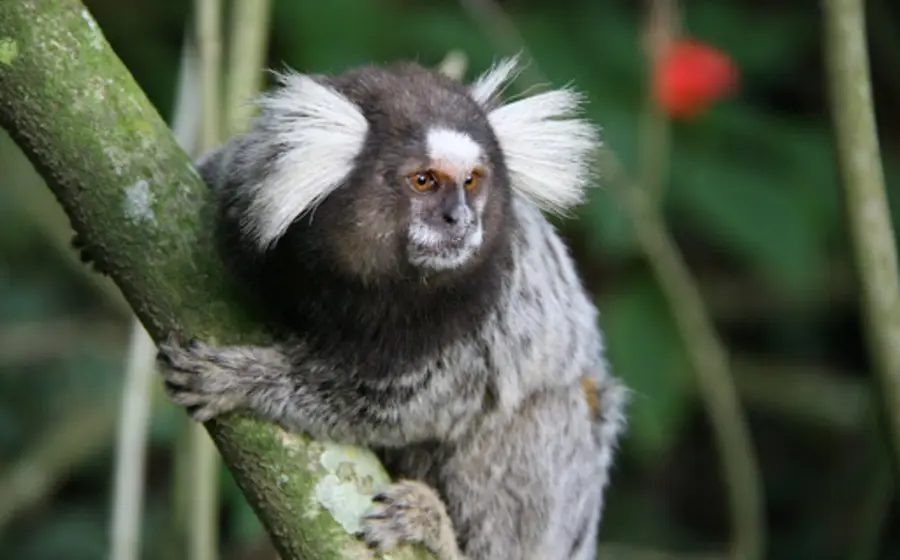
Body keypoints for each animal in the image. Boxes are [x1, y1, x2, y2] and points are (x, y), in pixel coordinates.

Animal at [156, 55, 628, 560]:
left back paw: (437, 531)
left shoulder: (486, 310)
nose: (461, 220)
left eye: (471, 181)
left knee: (543, 414)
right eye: (424, 181)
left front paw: (243, 379)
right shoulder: (244, 188)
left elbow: (396, 408)